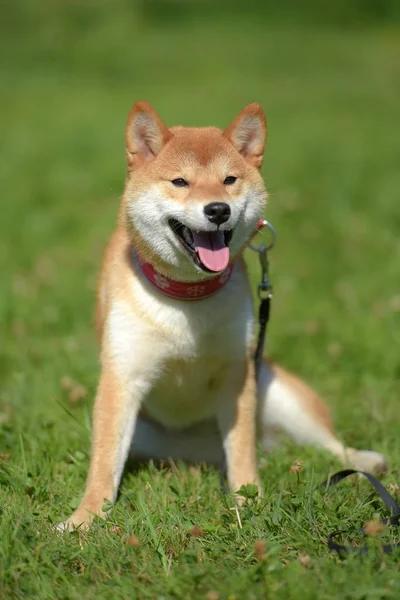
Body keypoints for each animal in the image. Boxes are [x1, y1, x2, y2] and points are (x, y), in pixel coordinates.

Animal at [59, 102, 388, 528]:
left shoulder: (238, 373)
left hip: (277, 391)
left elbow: (242, 451)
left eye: (229, 180)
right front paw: (85, 518)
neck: (187, 298)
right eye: (180, 181)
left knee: (326, 444)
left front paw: (250, 502)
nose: (218, 209)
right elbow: (103, 463)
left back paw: (365, 462)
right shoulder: (122, 376)